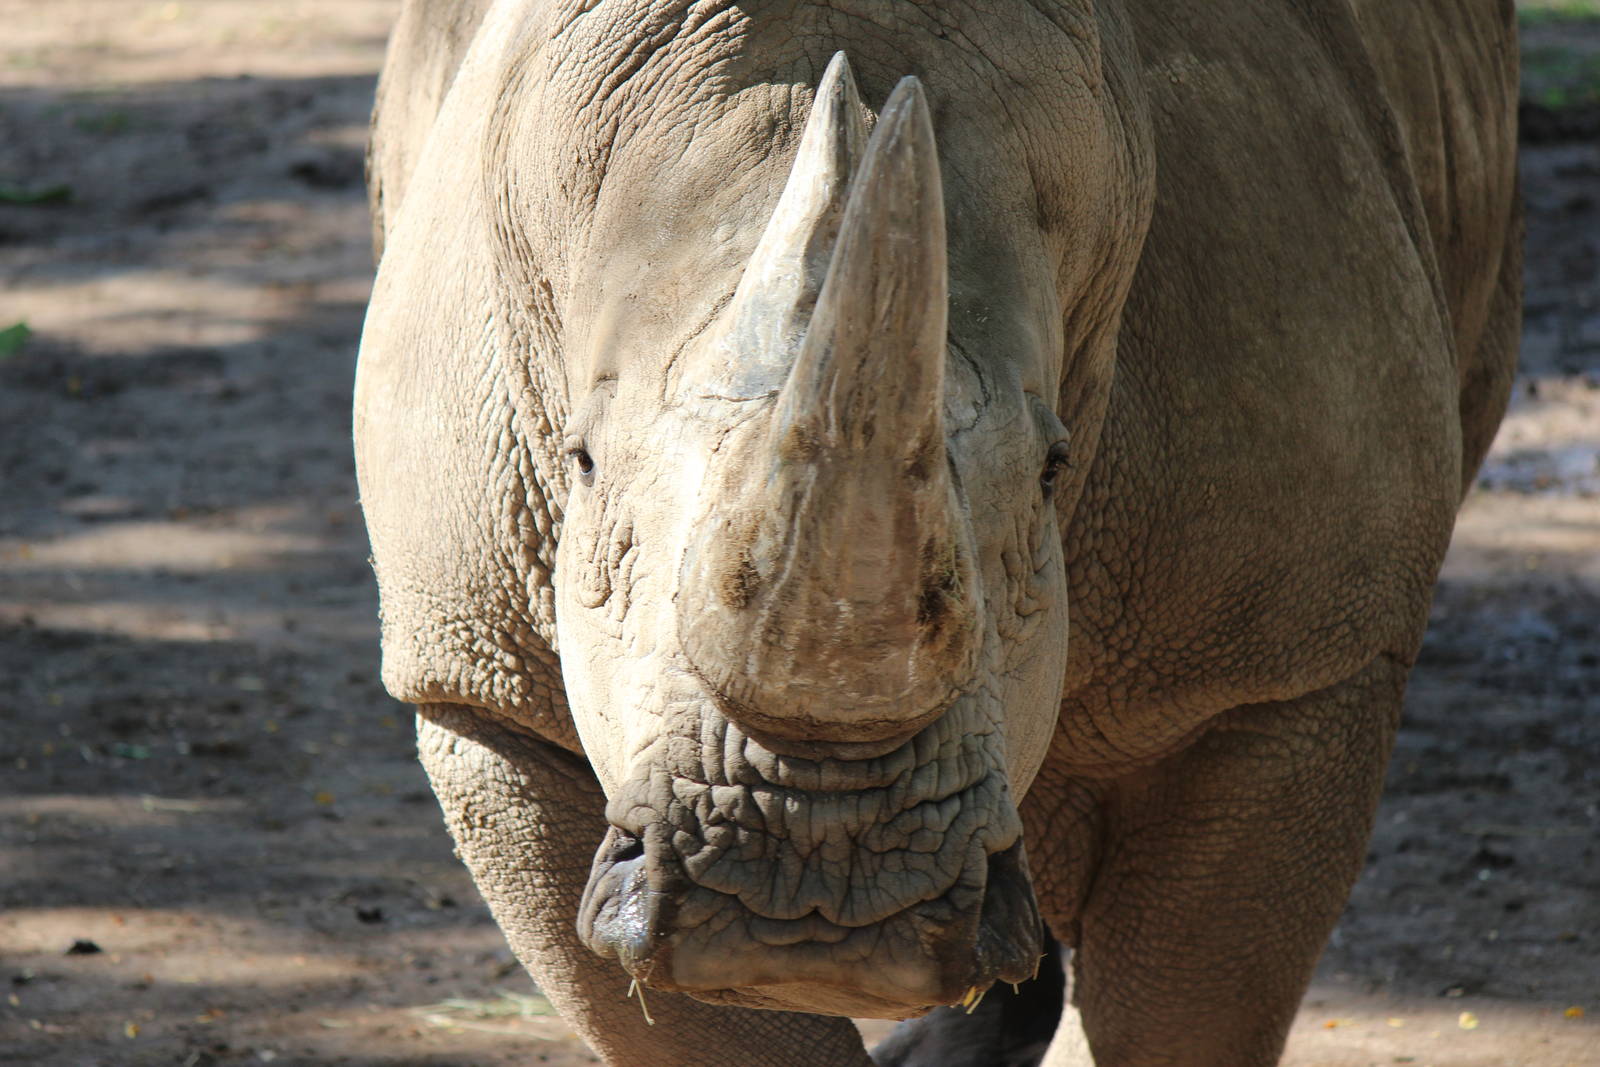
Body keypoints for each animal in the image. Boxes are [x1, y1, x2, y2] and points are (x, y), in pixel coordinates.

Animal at [353, 1, 1520, 1063]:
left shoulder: (1291, 668)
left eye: (1054, 468)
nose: (814, 884)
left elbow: (1188, 1009)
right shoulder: (486, 690)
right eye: (581, 462)